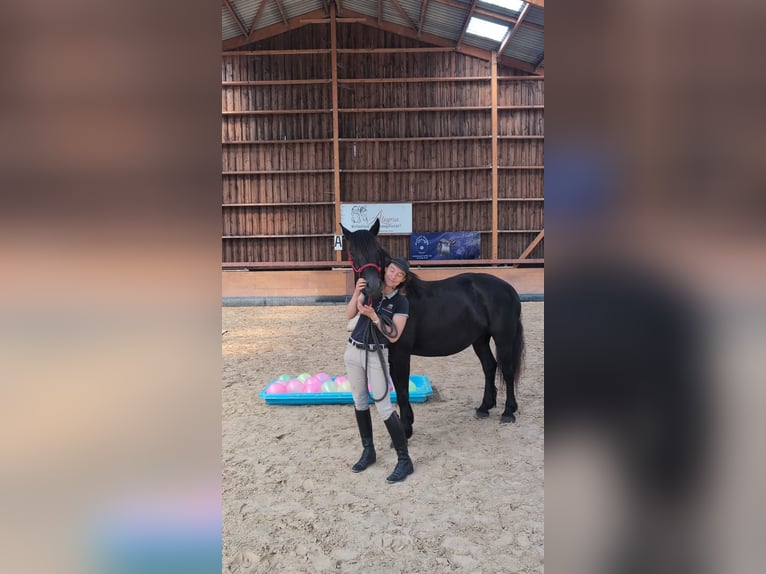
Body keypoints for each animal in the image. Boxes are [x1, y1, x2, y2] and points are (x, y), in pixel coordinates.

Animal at [341, 219, 524, 438]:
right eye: (352, 252)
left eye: (377, 250)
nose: (373, 286)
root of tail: (509, 289)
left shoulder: (401, 353)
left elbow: (402, 390)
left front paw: (406, 428)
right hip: (480, 339)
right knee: (489, 366)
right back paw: (484, 407)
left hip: (503, 337)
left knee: (507, 369)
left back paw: (508, 412)